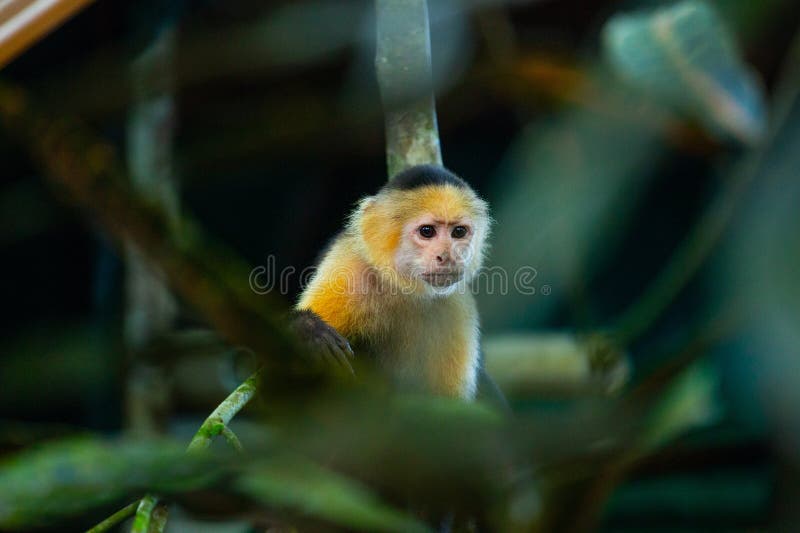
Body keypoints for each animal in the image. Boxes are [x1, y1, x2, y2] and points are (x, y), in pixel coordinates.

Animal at [294, 164, 506, 406]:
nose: (448, 257)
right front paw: (308, 332)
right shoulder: (347, 272)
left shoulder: (456, 308)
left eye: (459, 232)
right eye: (427, 231)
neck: (403, 287)